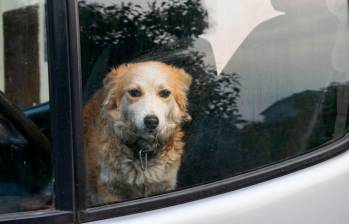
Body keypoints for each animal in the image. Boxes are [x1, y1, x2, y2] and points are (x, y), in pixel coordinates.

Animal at [84, 60, 192, 204]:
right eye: (134, 92)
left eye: (164, 93)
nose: (151, 121)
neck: (143, 152)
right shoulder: (109, 189)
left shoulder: (165, 184)